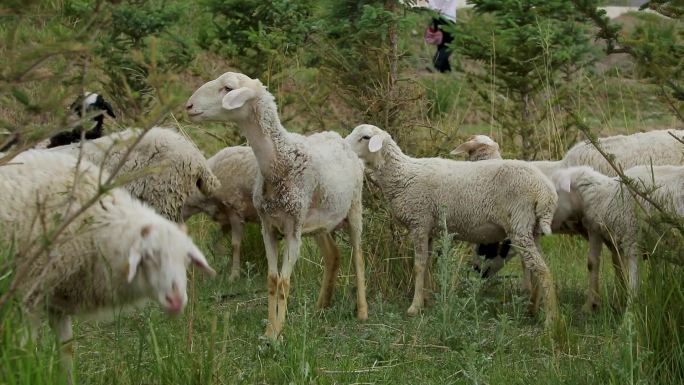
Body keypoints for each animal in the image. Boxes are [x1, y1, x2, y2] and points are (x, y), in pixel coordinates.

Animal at [0, 148, 215, 380]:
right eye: (149, 256)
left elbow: (66, 351)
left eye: (186, 260)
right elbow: (24, 350)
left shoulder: (56, 298)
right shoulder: (28, 296)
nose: (175, 300)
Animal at [348, 124, 560, 326]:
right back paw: (533, 309)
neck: (402, 175)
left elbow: (418, 266)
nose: (344, 147)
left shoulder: (419, 222)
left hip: (519, 224)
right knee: (538, 267)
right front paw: (426, 301)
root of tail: (545, 191)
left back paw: (550, 320)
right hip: (531, 229)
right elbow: (427, 265)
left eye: (365, 137)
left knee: (542, 270)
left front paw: (414, 307)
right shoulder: (428, 228)